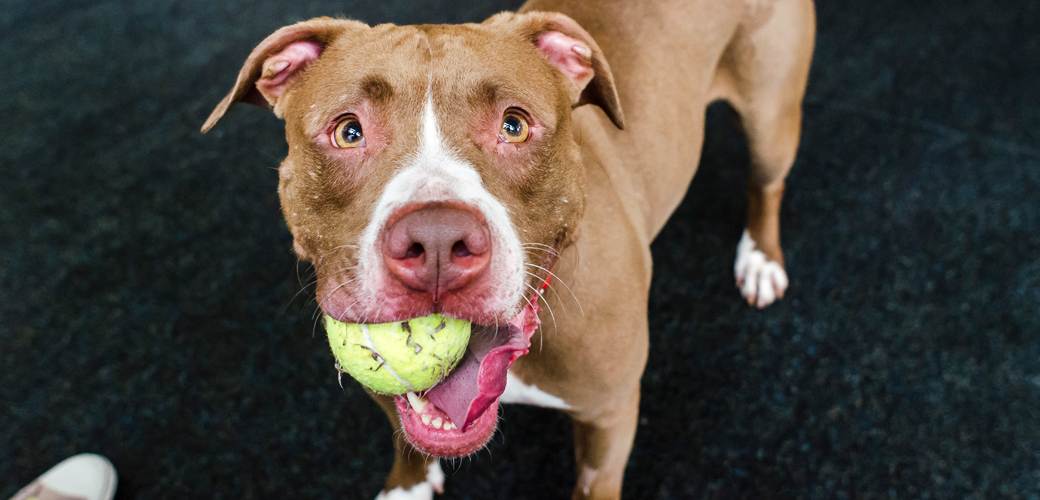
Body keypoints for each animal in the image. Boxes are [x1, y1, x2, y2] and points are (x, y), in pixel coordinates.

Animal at [200, 0, 811, 494]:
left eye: (514, 125)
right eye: (348, 132)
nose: (437, 240)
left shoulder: (610, 414)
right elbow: (403, 431)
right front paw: (407, 485)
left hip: (771, 115)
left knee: (767, 182)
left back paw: (760, 259)